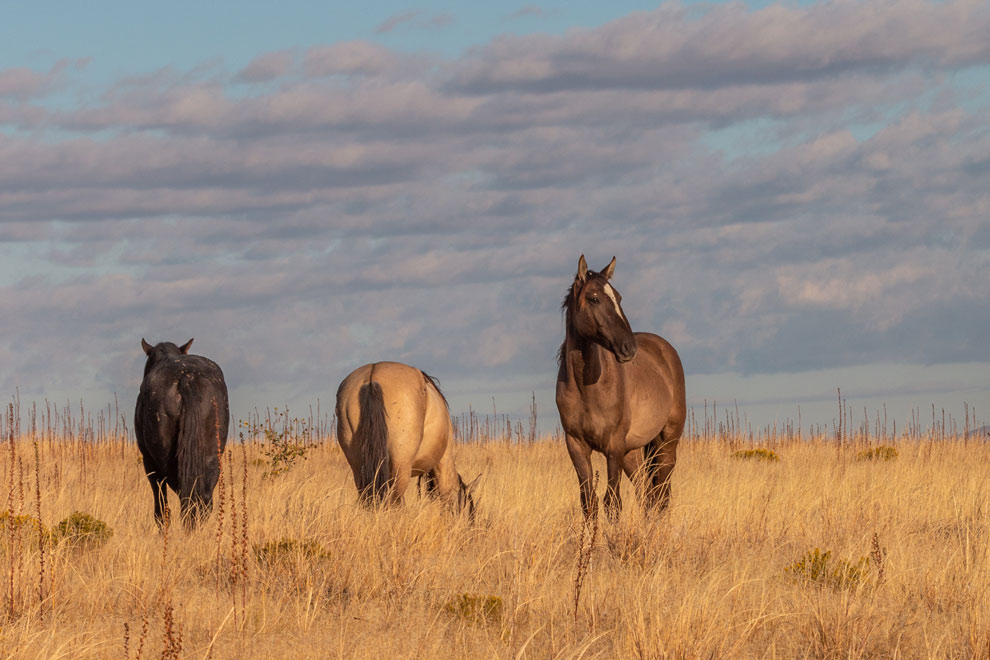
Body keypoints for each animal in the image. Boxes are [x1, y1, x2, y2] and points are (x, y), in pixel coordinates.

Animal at [555, 255, 686, 519]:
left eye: (619, 297)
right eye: (594, 298)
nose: (629, 348)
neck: (586, 389)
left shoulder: (613, 446)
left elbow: (613, 503)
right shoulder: (576, 445)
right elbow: (589, 503)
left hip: (666, 444)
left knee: (661, 497)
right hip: (632, 453)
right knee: (647, 495)